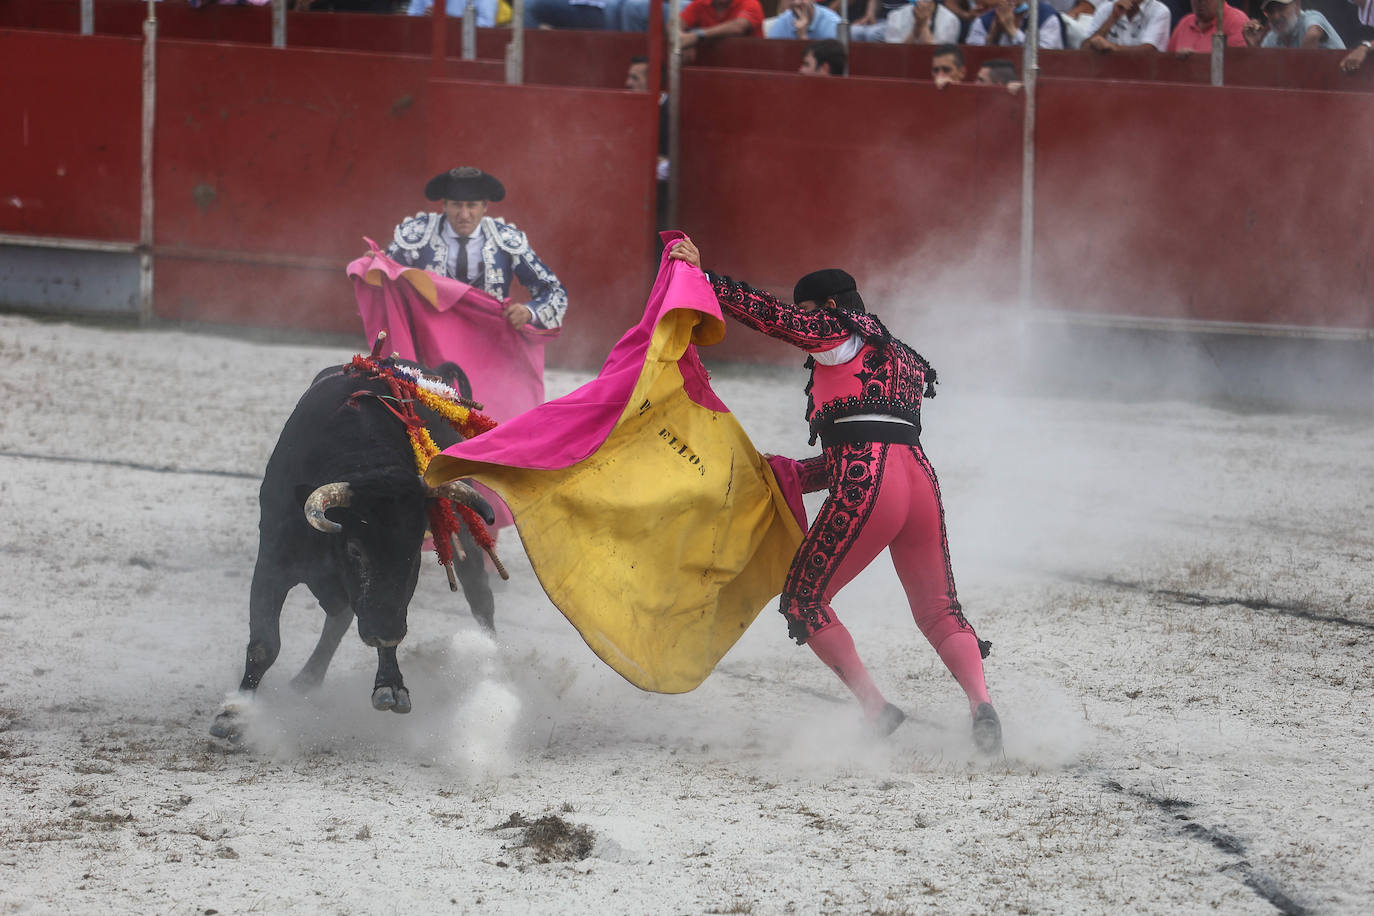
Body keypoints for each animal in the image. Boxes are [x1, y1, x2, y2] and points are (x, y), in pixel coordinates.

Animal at [211, 362, 497, 741]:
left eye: (413, 553)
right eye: (355, 549)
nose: (386, 631)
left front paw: (391, 685)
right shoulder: (272, 561)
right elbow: (264, 643)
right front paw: (235, 712)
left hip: (463, 528)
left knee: (479, 594)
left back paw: (491, 661)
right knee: (341, 616)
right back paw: (307, 679)